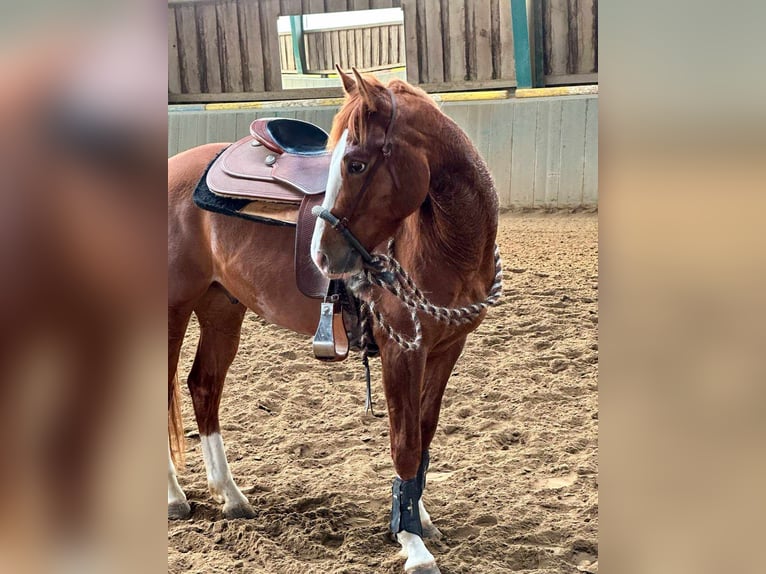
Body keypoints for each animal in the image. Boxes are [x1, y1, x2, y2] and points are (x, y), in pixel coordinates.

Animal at [168, 67, 500, 574]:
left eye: (357, 164)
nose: (322, 256)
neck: (443, 243)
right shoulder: (402, 350)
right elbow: (404, 443)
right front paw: (412, 542)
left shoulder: (445, 349)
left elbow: (423, 437)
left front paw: (416, 518)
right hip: (172, 309)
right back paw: (175, 496)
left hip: (221, 307)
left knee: (203, 386)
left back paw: (231, 496)